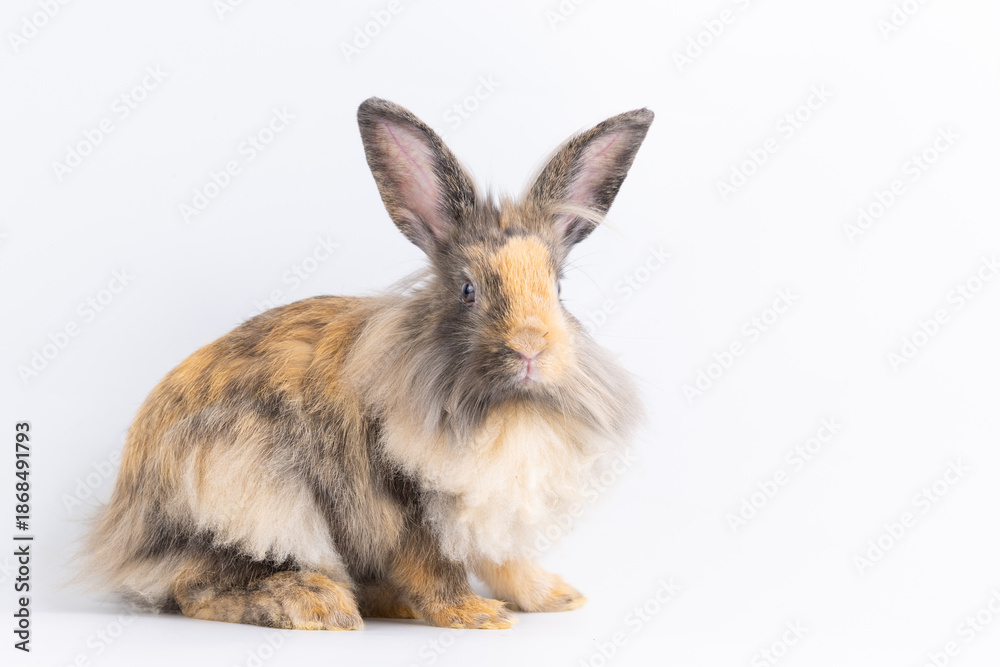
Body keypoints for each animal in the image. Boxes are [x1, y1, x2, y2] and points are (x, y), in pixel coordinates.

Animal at [83, 97, 653, 630]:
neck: (497, 408)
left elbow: (506, 560)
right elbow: (434, 568)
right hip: (249, 495)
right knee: (195, 587)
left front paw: (556, 597)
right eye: (468, 290)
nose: (532, 348)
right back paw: (315, 603)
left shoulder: (489, 506)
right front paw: (476, 616)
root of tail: (123, 534)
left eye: (557, 290)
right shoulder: (407, 508)